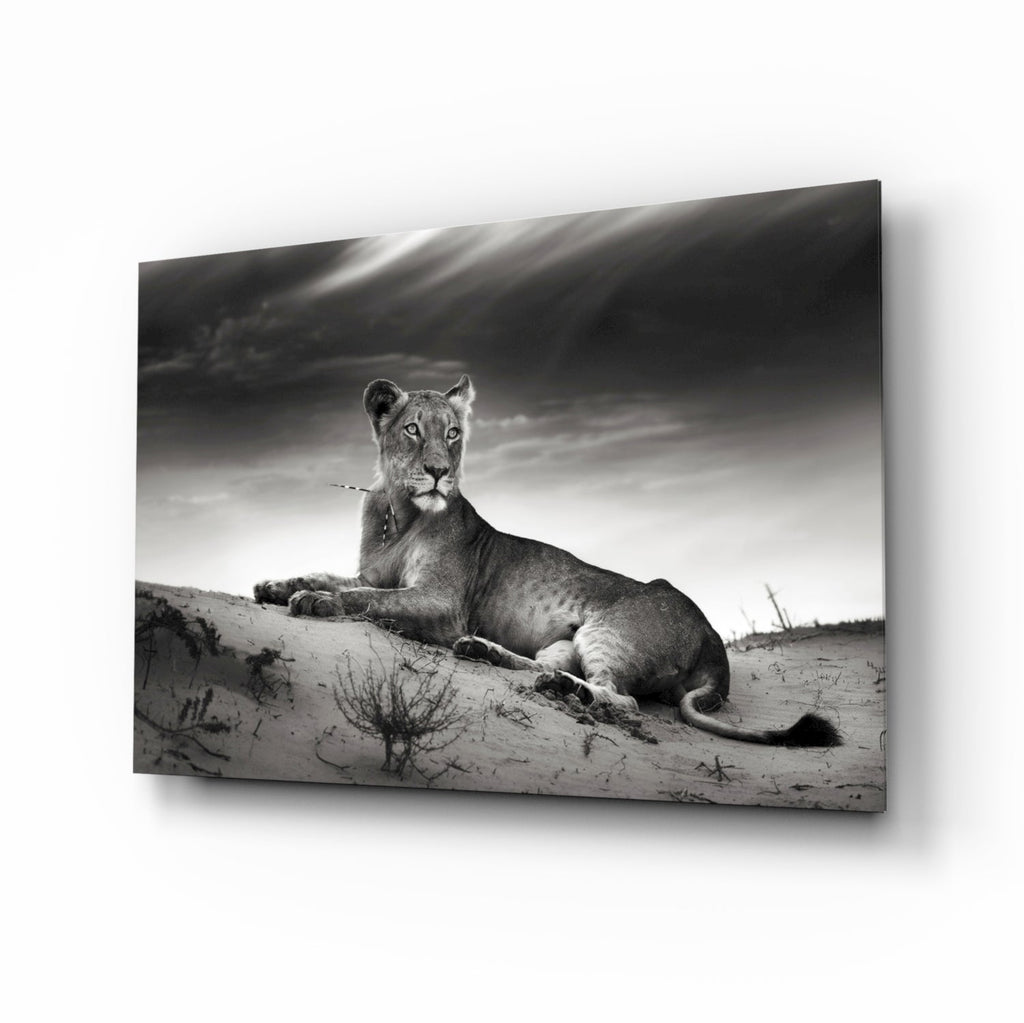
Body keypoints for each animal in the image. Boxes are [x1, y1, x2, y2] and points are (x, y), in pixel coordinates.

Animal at [254, 376, 840, 747]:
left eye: (453, 433)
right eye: (412, 429)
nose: (440, 472)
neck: (399, 511)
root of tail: (714, 638)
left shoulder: (442, 604)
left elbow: (365, 598)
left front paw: (314, 601)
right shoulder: (372, 572)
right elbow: (336, 577)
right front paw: (277, 586)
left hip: (608, 633)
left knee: (619, 700)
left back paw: (560, 688)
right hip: (565, 640)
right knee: (543, 666)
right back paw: (488, 654)